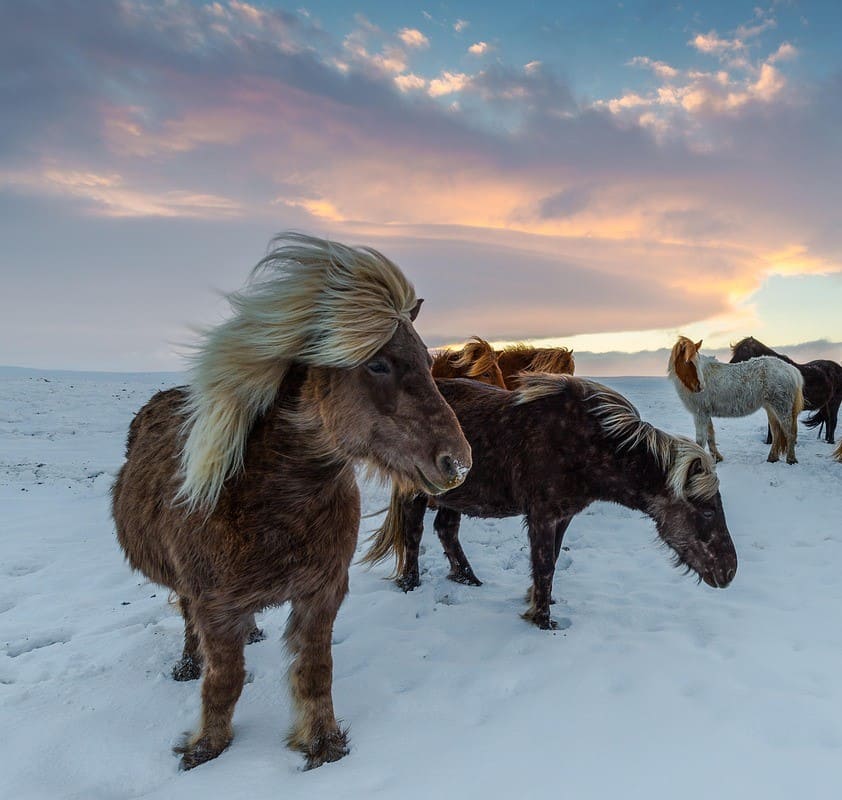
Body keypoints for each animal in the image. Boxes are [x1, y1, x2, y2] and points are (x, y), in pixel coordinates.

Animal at [110, 234, 472, 772]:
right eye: (378, 363)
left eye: (429, 363)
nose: (458, 462)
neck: (271, 501)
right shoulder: (215, 605)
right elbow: (224, 680)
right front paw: (205, 748)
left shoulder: (321, 593)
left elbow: (315, 671)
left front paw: (322, 743)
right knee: (187, 618)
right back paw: (188, 663)